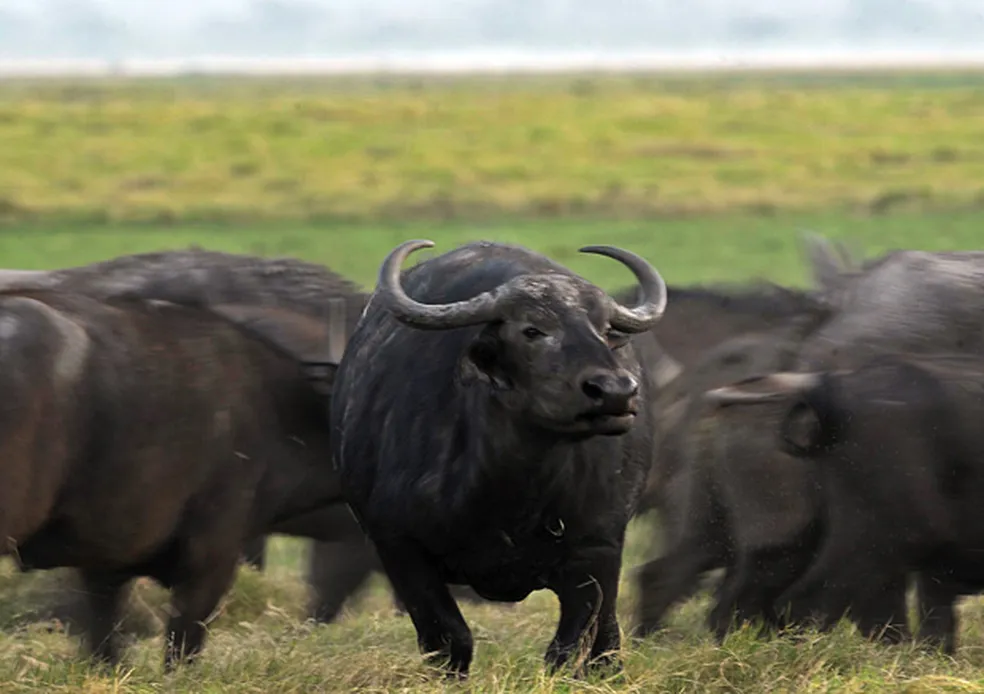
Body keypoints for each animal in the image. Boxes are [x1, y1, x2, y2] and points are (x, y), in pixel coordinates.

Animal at [330, 241, 668, 680]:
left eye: (603, 330)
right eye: (532, 330)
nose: (615, 391)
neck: (513, 494)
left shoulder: (598, 550)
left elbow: (568, 647)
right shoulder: (398, 546)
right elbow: (448, 638)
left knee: (607, 638)